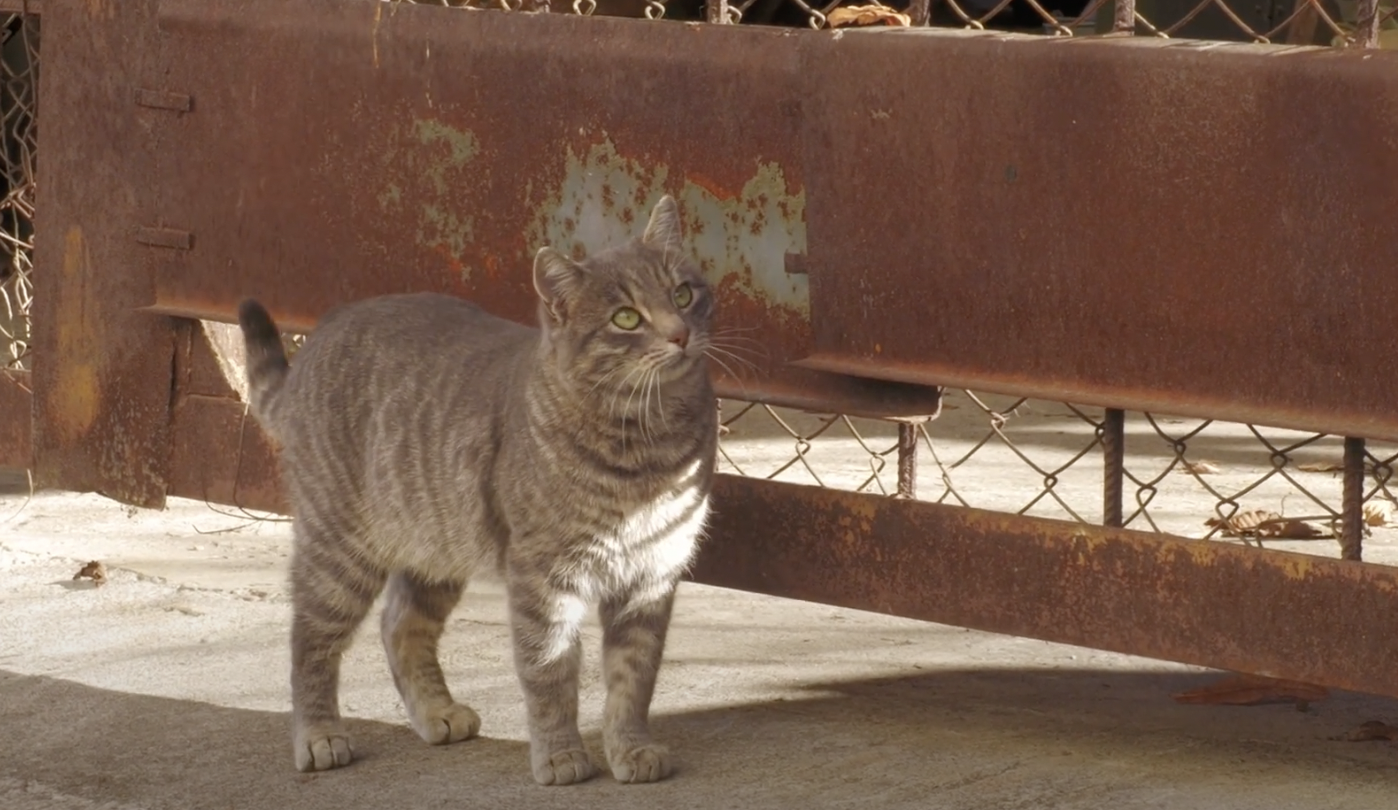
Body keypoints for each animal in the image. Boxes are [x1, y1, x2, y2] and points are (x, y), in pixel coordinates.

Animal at [236, 195, 715, 783]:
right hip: (339, 554)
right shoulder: (544, 578)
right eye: (626, 317)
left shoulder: (652, 576)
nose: (680, 333)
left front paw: (630, 748)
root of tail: (318, 336)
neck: (646, 446)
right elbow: (549, 672)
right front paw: (561, 754)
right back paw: (320, 734)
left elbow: (634, 678)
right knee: (310, 640)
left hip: (435, 547)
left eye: (683, 294)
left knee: (401, 626)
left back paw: (436, 713)